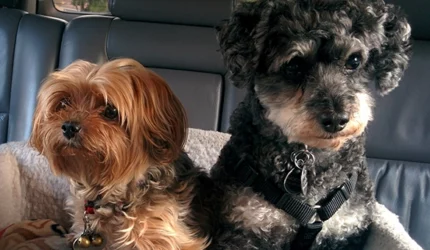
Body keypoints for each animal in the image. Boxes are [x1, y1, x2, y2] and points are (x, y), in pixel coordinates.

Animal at [208, 0, 414, 250]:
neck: (309, 155)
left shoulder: (345, 231)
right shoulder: (244, 225)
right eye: (294, 65)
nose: (336, 119)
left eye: (354, 61)